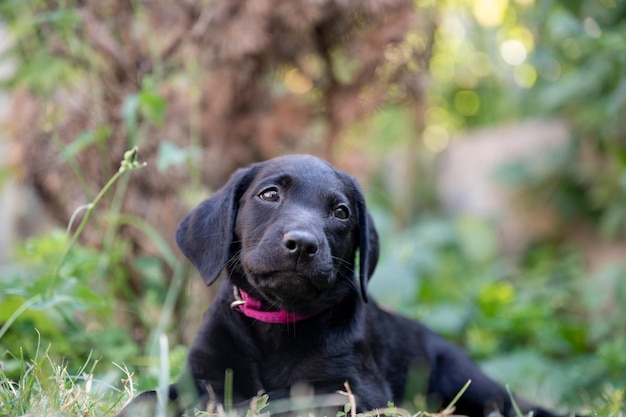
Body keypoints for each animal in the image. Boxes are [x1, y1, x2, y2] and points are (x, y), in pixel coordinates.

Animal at [117, 154, 572, 416]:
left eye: (340, 212)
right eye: (269, 194)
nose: (303, 244)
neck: (278, 324)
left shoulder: (354, 391)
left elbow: (279, 398)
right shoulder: (202, 376)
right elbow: (151, 396)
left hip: (465, 378)